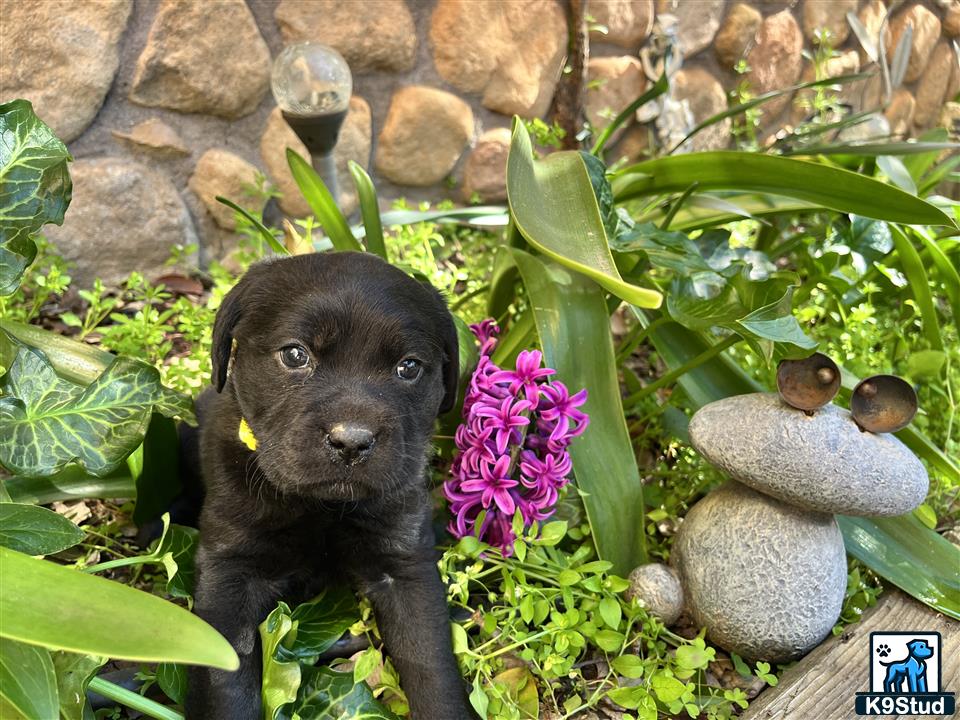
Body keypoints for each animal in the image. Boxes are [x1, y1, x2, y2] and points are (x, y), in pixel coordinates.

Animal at [184, 250, 472, 716]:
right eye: (295, 355)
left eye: (408, 367)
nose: (351, 441)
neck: (322, 507)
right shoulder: (231, 571)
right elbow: (224, 681)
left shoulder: (403, 564)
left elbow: (431, 662)